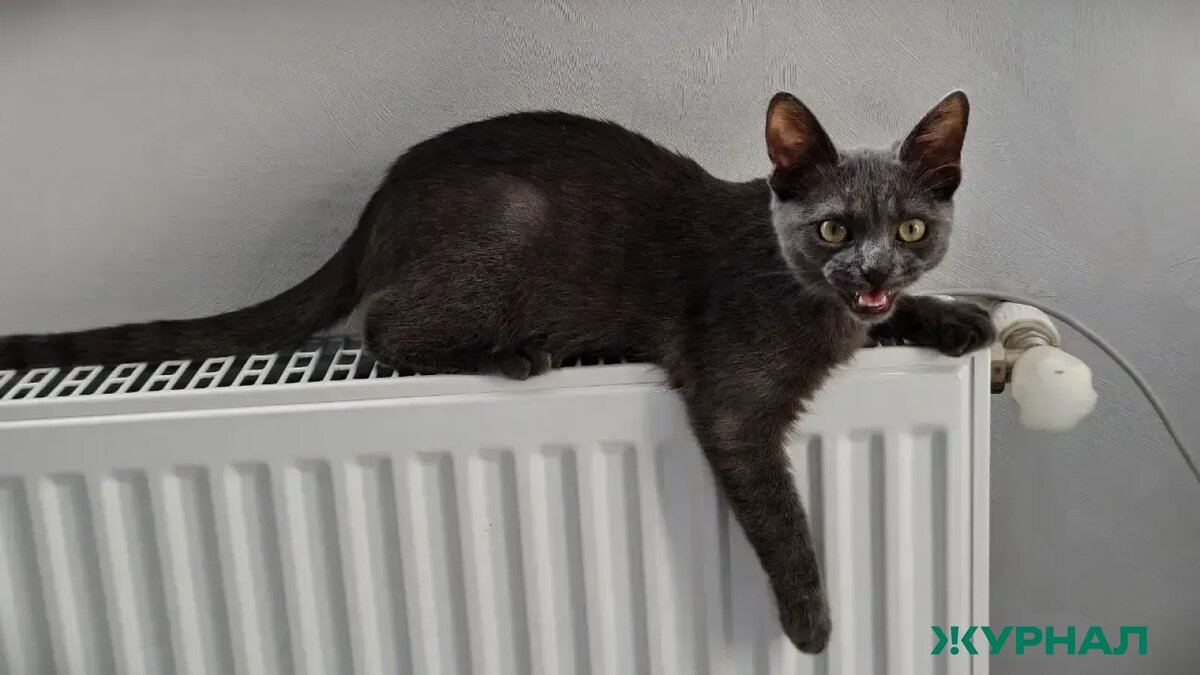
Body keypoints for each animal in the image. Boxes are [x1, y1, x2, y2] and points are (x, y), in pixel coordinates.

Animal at [0, 91, 994, 653]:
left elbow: (899, 318)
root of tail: (376, 207)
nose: (870, 270)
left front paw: (959, 318)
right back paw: (515, 351)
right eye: (832, 227)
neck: (816, 302)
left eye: (911, 229)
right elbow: (782, 517)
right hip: (502, 232)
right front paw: (812, 625)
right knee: (381, 326)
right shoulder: (734, 404)